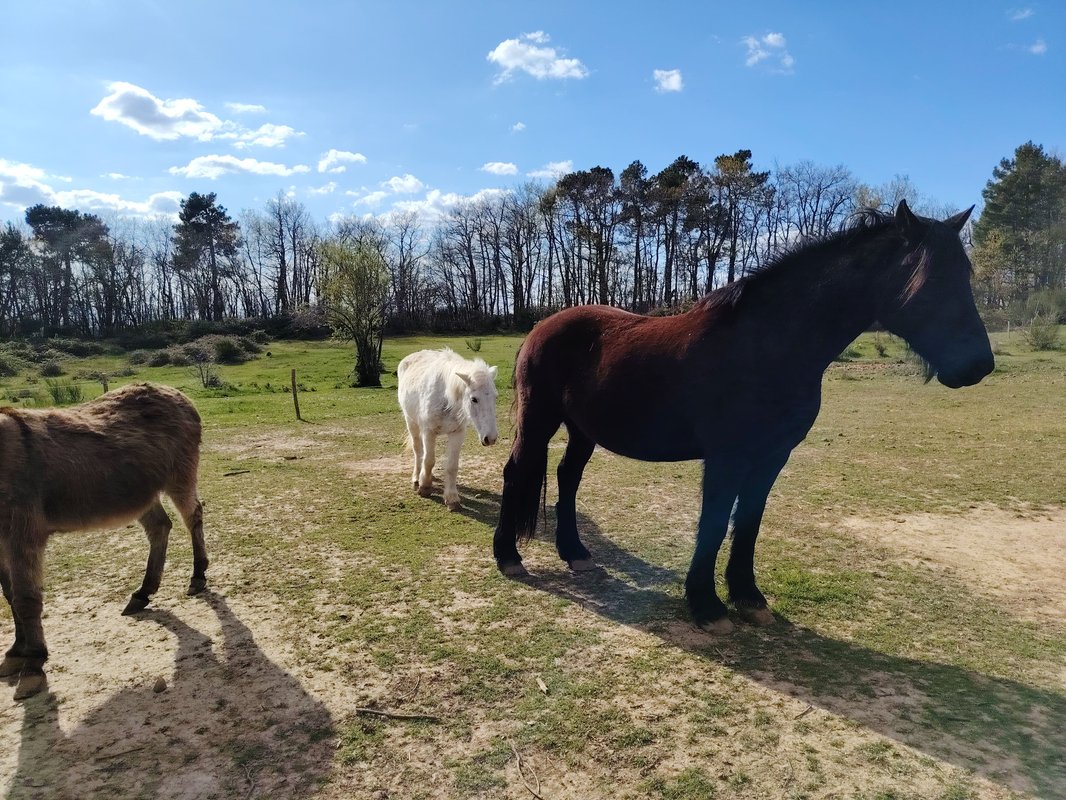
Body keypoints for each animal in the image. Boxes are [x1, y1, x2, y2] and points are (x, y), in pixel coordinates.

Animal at [0, 383, 208, 700]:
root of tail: (174, 391)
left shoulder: (22, 530)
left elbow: (24, 599)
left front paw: (33, 664)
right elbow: (9, 596)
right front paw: (15, 653)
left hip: (179, 475)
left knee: (193, 516)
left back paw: (198, 576)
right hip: (140, 491)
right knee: (160, 526)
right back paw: (142, 593)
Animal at [397, 348, 499, 510]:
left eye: (495, 397)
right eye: (474, 399)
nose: (491, 438)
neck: (446, 399)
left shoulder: (457, 434)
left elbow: (451, 466)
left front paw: (452, 499)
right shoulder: (428, 432)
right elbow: (429, 460)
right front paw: (424, 487)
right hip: (411, 423)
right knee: (418, 451)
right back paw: (416, 479)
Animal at [493, 201, 994, 634]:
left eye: (965, 276)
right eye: (931, 280)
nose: (978, 366)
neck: (767, 345)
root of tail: (542, 327)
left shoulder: (772, 457)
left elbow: (748, 523)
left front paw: (748, 597)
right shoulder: (727, 457)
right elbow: (714, 524)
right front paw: (706, 605)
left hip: (583, 430)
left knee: (567, 476)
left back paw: (575, 552)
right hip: (538, 421)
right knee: (516, 473)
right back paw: (508, 556)